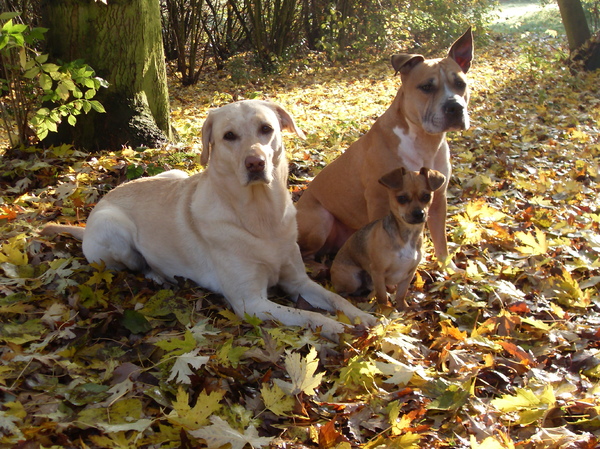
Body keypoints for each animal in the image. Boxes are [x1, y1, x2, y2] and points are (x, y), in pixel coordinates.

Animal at [43, 100, 376, 338]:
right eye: (229, 136)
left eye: (266, 129)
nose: (255, 163)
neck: (261, 216)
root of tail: (101, 202)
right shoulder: (250, 302)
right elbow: (307, 315)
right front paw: (336, 328)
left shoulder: (298, 280)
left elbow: (334, 298)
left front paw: (363, 315)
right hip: (114, 229)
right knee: (134, 264)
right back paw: (158, 275)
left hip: (175, 174)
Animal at [296, 28, 474, 266]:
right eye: (426, 87)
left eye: (460, 84)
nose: (455, 107)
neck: (425, 141)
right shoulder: (378, 199)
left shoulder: (439, 198)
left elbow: (441, 241)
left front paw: (449, 269)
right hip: (320, 219)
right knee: (304, 252)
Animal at [330, 166, 442, 310]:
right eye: (401, 198)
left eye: (427, 196)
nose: (419, 213)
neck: (407, 235)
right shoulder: (378, 272)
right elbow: (382, 297)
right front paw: (384, 311)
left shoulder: (409, 274)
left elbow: (401, 294)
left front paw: (404, 309)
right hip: (352, 279)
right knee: (344, 291)